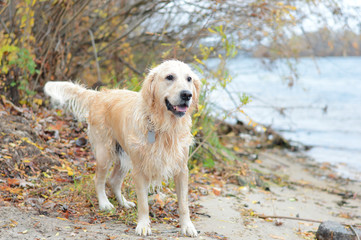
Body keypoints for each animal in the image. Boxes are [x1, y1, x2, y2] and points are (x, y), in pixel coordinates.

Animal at [43, 60, 200, 236]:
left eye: (189, 79)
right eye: (170, 77)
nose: (187, 95)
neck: (163, 126)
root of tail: (99, 95)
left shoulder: (181, 169)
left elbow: (183, 204)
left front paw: (187, 226)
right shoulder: (140, 170)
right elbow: (143, 203)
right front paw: (143, 225)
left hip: (125, 157)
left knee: (113, 181)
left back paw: (124, 203)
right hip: (105, 153)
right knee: (99, 179)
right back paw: (104, 203)